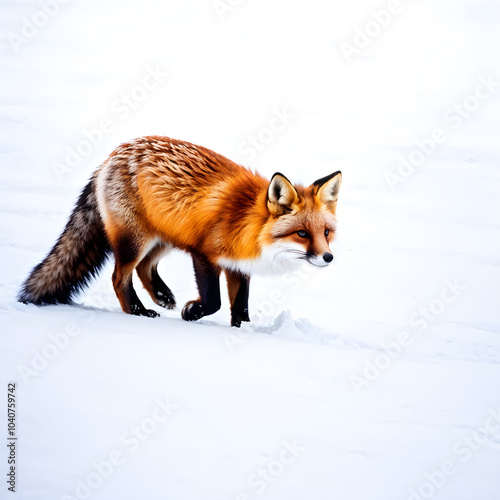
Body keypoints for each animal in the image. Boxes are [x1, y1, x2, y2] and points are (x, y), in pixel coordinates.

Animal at [18, 135, 340, 326]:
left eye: (325, 232)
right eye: (301, 233)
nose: (328, 258)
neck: (247, 222)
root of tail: (114, 153)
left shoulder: (238, 266)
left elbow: (241, 307)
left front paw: (242, 331)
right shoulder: (204, 254)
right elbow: (214, 302)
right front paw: (192, 312)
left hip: (164, 238)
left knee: (144, 268)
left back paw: (162, 296)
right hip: (136, 240)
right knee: (119, 277)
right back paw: (138, 311)